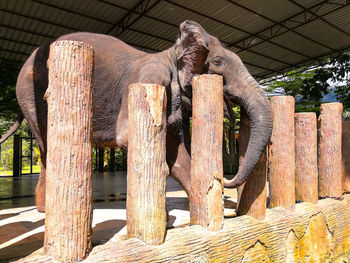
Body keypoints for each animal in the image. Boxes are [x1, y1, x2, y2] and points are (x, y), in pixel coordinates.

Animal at [0, 21, 274, 214]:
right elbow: (130, 139)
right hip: (31, 96)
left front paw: (206, 209)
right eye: (218, 62)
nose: (225, 178)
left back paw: (43, 208)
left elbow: (177, 154)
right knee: (47, 146)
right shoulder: (150, 80)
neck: (171, 52)